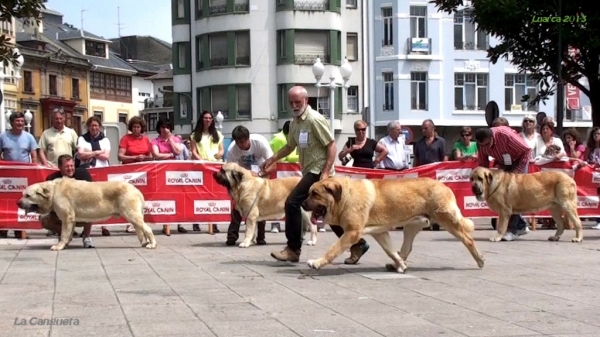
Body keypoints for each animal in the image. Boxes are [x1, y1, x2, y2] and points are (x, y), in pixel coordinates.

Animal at [17, 177, 157, 248]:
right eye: (23, 194)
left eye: (28, 195)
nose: (18, 203)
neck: (53, 190)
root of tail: (136, 189)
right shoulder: (71, 219)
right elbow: (68, 234)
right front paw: (66, 244)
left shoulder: (67, 217)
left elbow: (64, 234)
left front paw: (59, 246)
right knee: (141, 230)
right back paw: (145, 243)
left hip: (131, 214)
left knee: (147, 228)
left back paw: (152, 244)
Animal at [300, 176, 482, 272]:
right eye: (310, 193)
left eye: (315, 194)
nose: (302, 204)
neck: (345, 197)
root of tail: (444, 185)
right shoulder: (380, 233)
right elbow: (390, 251)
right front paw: (399, 264)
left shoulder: (352, 233)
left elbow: (333, 250)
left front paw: (317, 262)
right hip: (411, 227)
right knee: (405, 249)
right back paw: (398, 265)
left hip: (448, 221)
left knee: (468, 240)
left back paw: (480, 260)